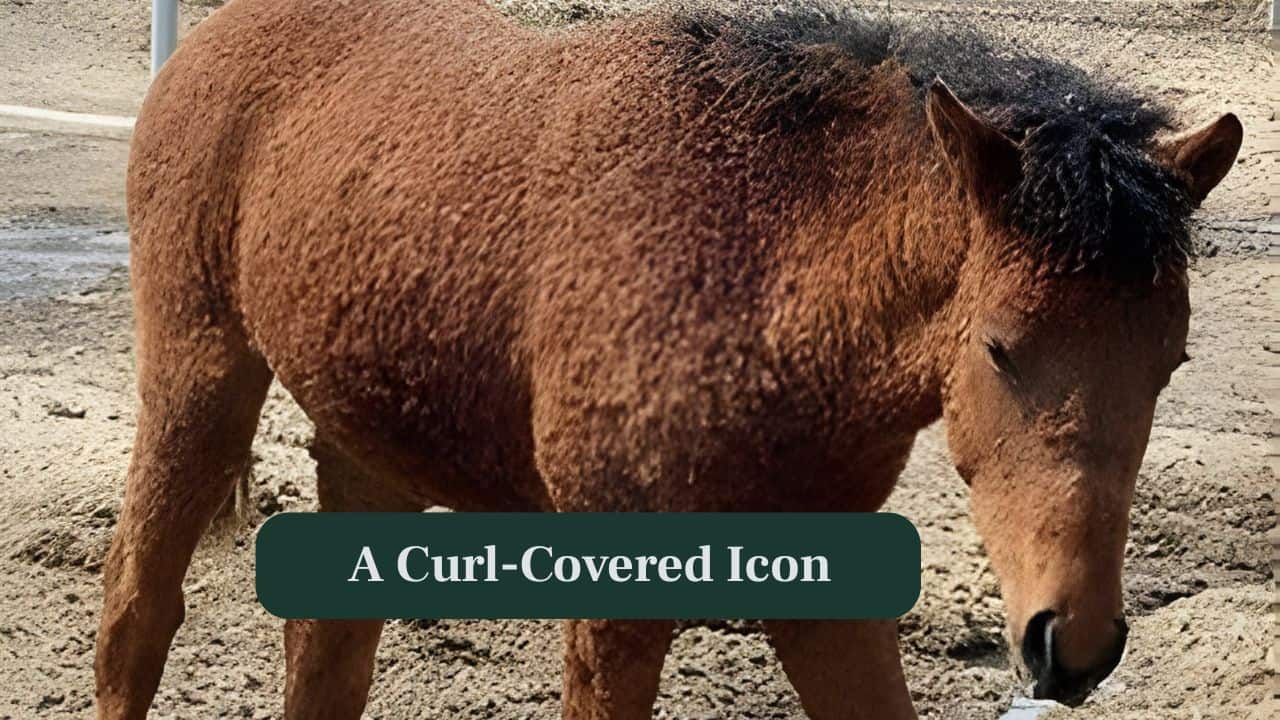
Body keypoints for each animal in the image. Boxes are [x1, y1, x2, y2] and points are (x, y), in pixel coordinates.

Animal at [94, 1, 1241, 718]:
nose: (1072, 646)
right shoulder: (617, 609)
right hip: (199, 383)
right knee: (135, 618)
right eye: (999, 349)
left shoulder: (829, 597)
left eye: (1169, 364)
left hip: (369, 446)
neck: (751, 268)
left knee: (328, 655)